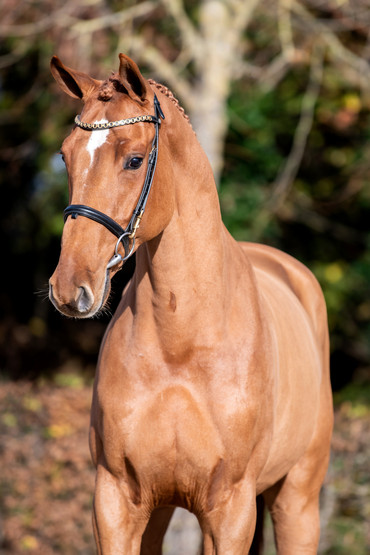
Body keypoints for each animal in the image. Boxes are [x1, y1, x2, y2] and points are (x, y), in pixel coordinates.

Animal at [48, 53, 332, 555]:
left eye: (134, 160)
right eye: (65, 155)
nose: (70, 287)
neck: (181, 341)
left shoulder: (230, 509)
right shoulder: (116, 502)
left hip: (297, 499)